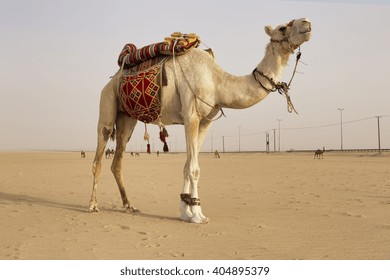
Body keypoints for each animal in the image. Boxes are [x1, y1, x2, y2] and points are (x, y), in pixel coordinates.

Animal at [88, 17, 310, 223]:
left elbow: (187, 166)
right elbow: (194, 169)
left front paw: (185, 211)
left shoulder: (205, 121)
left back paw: (129, 205)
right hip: (107, 102)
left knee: (117, 161)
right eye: (283, 27)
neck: (218, 82)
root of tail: (112, 79)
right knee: (99, 155)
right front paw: (197, 215)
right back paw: (93, 205)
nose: (307, 23)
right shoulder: (191, 115)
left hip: (127, 119)